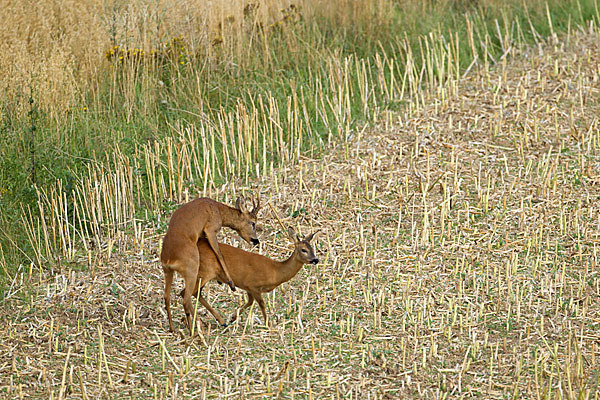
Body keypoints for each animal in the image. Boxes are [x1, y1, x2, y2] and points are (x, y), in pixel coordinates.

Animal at [161, 195, 262, 332]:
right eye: (252, 222)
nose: (256, 241)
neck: (218, 210)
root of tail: (169, 259)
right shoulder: (210, 229)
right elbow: (219, 254)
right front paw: (231, 283)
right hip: (191, 270)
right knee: (186, 298)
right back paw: (197, 330)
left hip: (168, 271)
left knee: (167, 297)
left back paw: (174, 328)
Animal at [191, 227, 322, 326]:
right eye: (303, 250)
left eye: (312, 249)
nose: (315, 259)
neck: (276, 271)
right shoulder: (254, 285)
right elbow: (262, 304)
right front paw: (268, 324)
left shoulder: (248, 286)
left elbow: (250, 302)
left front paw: (233, 317)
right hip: (205, 271)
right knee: (191, 292)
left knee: (196, 293)